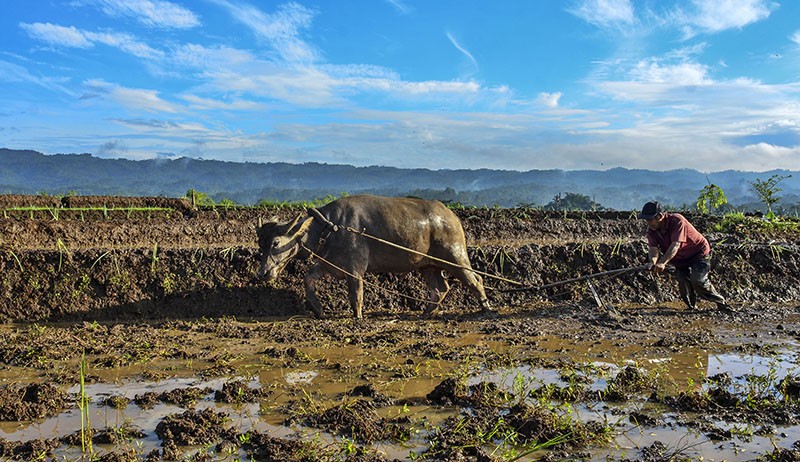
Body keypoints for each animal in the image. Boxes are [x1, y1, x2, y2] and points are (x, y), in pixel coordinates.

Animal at [260, 194, 490, 318]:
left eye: (276, 243)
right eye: (260, 244)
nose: (263, 273)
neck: (330, 227)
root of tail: (451, 216)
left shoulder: (354, 270)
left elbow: (356, 294)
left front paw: (358, 316)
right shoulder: (330, 264)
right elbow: (308, 278)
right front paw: (318, 309)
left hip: (455, 257)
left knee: (475, 280)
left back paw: (486, 307)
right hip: (428, 266)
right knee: (440, 288)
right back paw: (427, 312)